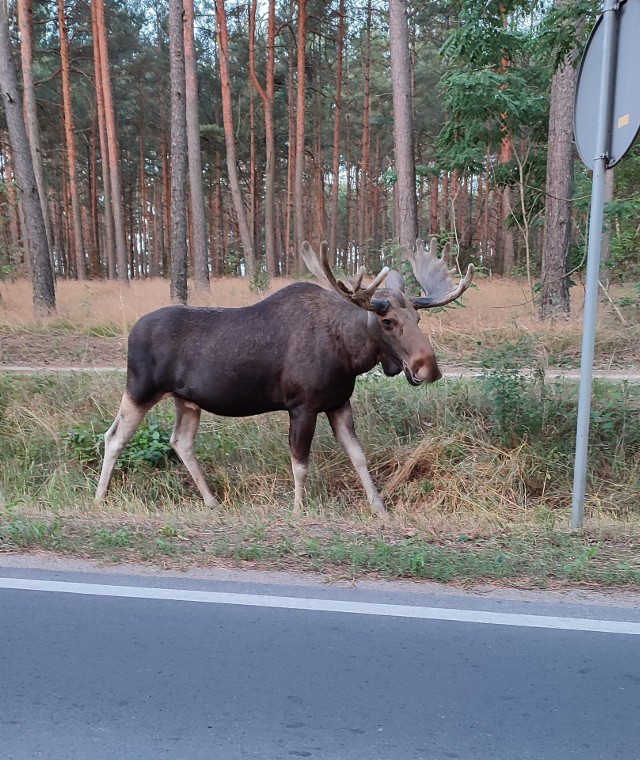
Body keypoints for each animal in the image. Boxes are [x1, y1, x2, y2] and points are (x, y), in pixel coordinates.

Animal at [96, 239, 476, 516]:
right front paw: (298, 509)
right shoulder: (302, 405)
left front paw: (379, 506)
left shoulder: (339, 404)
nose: (428, 367)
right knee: (113, 436)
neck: (349, 355)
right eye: (387, 322)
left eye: (418, 318)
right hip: (140, 388)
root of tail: (131, 332)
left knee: (181, 442)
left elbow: (358, 456)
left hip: (186, 400)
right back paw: (100, 497)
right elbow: (300, 463)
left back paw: (211, 500)